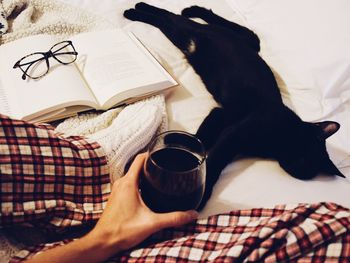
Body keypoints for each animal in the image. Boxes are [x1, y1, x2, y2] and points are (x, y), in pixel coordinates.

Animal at [123, 1, 344, 208]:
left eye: (305, 168)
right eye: (305, 155)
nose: (296, 169)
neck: (277, 140)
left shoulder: (221, 114)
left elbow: (202, 139)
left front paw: (177, 141)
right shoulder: (235, 134)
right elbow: (215, 158)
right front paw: (202, 193)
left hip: (187, 39)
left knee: (172, 20)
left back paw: (163, 10)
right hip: (204, 36)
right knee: (173, 16)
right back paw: (140, 10)